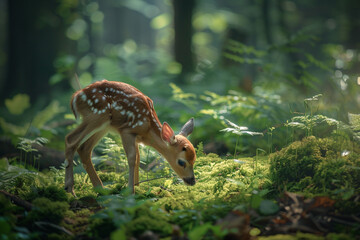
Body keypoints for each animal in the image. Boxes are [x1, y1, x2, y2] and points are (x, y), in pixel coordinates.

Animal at [63, 80, 195, 195]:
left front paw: (137, 186)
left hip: (104, 125)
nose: (192, 181)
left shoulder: (136, 138)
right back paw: (70, 189)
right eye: (181, 162)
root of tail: (76, 97)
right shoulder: (127, 131)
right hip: (97, 115)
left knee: (84, 148)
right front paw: (131, 190)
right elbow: (132, 158)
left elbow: (138, 158)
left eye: (194, 160)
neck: (147, 130)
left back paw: (100, 188)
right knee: (70, 139)